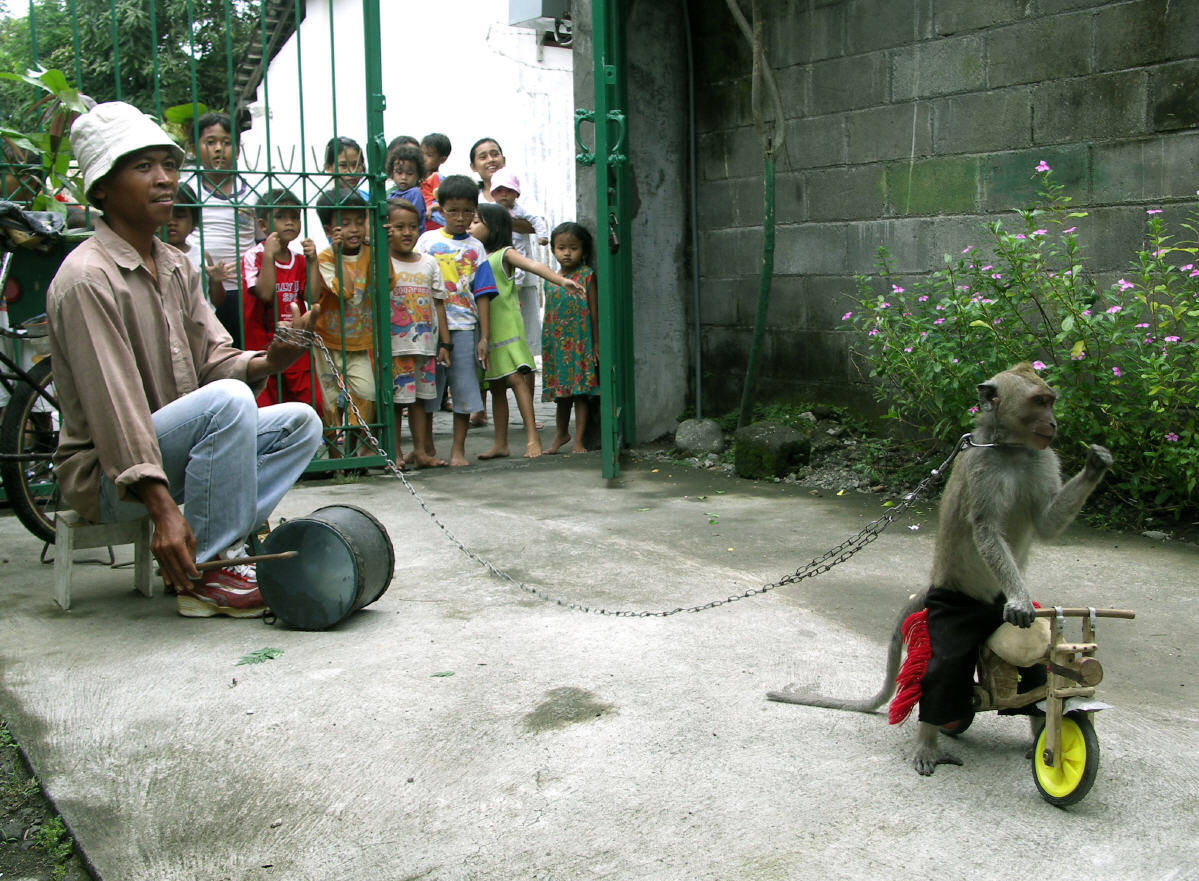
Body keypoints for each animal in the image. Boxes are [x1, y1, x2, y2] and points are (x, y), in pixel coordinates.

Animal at [767, 364, 1112, 776]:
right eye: (1039, 401)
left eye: (1050, 401)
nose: (1054, 423)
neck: (1010, 449)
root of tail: (933, 583)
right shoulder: (982, 468)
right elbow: (985, 530)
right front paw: (1019, 599)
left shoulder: (1044, 458)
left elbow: (1046, 524)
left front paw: (1097, 463)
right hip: (951, 608)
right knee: (943, 672)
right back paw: (929, 741)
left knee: (1036, 676)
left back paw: (1036, 732)